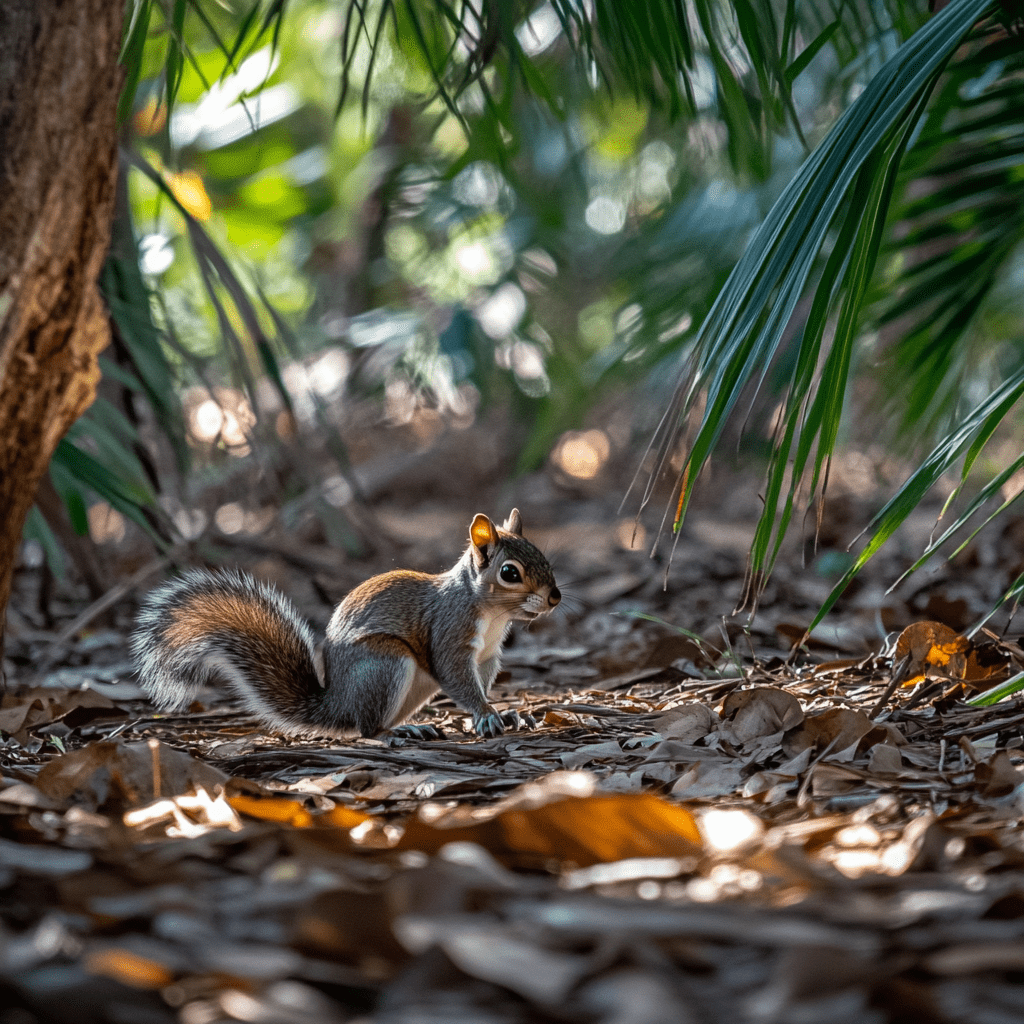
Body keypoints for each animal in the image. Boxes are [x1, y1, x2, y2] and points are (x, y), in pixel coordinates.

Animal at [129, 509, 565, 737]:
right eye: (509, 573)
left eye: (543, 556)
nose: (554, 598)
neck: (492, 616)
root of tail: (337, 703)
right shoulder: (450, 632)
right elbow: (458, 678)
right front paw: (487, 714)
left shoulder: (488, 655)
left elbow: (482, 680)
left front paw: (502, 713)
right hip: (385, 663)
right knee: (367, 728)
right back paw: (398, 732)